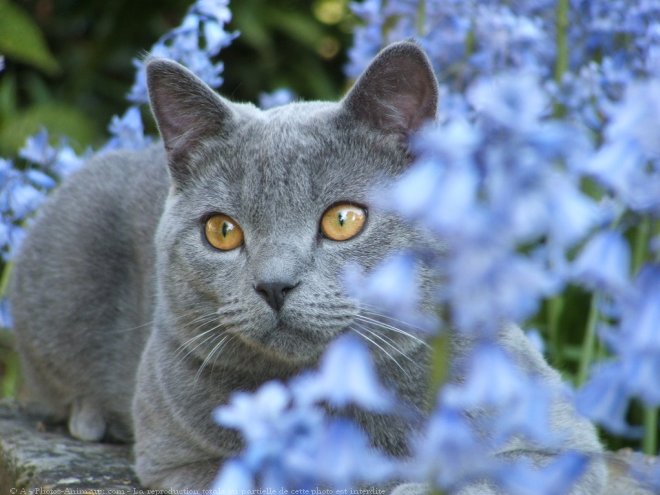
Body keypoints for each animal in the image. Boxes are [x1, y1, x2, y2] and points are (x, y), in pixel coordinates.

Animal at [11, 41, 608, 492]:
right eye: (222, 231)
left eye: (343, 220)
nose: (275, 284)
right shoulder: (176, 458)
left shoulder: (569, 447)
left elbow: (496, 475)